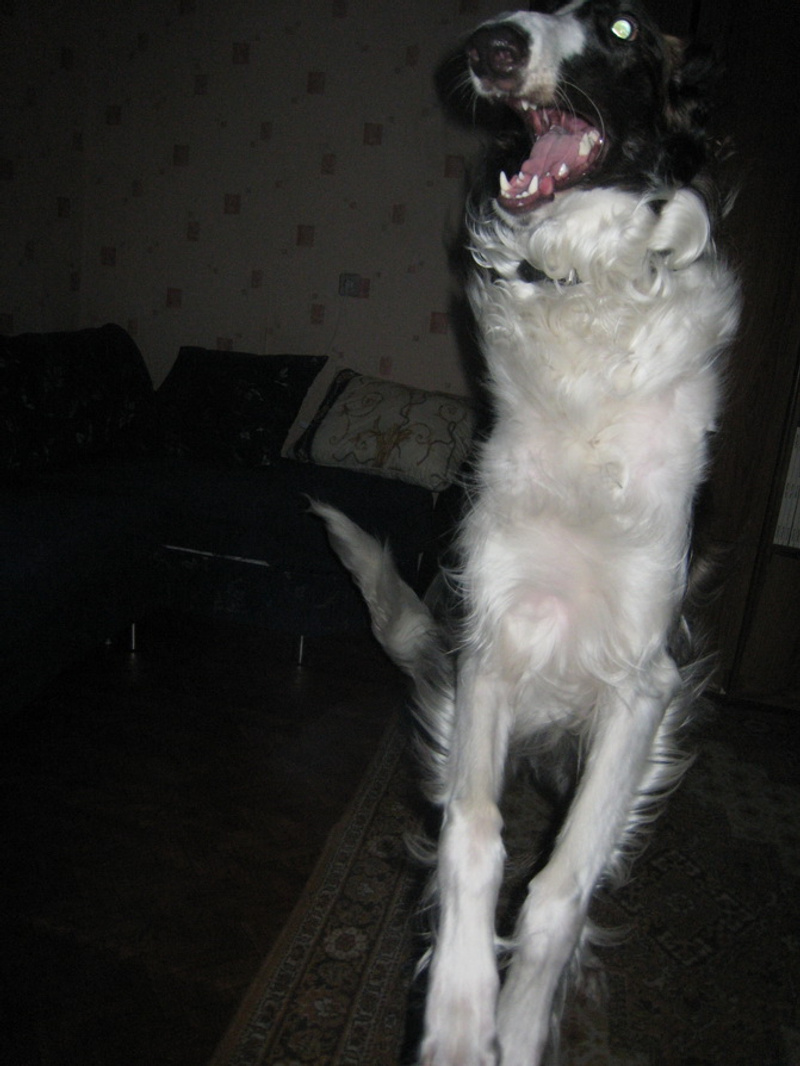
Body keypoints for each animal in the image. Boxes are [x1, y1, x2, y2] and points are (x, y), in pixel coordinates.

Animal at [314, 2, 740, 1063]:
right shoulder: (491, 641)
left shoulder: (643, 684)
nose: (491, 47)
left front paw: (515, 1020)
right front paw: (461, 1015)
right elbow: (474, 833)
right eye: (531, 5)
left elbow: (557, 887)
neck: (592, 295)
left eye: (623, 26)